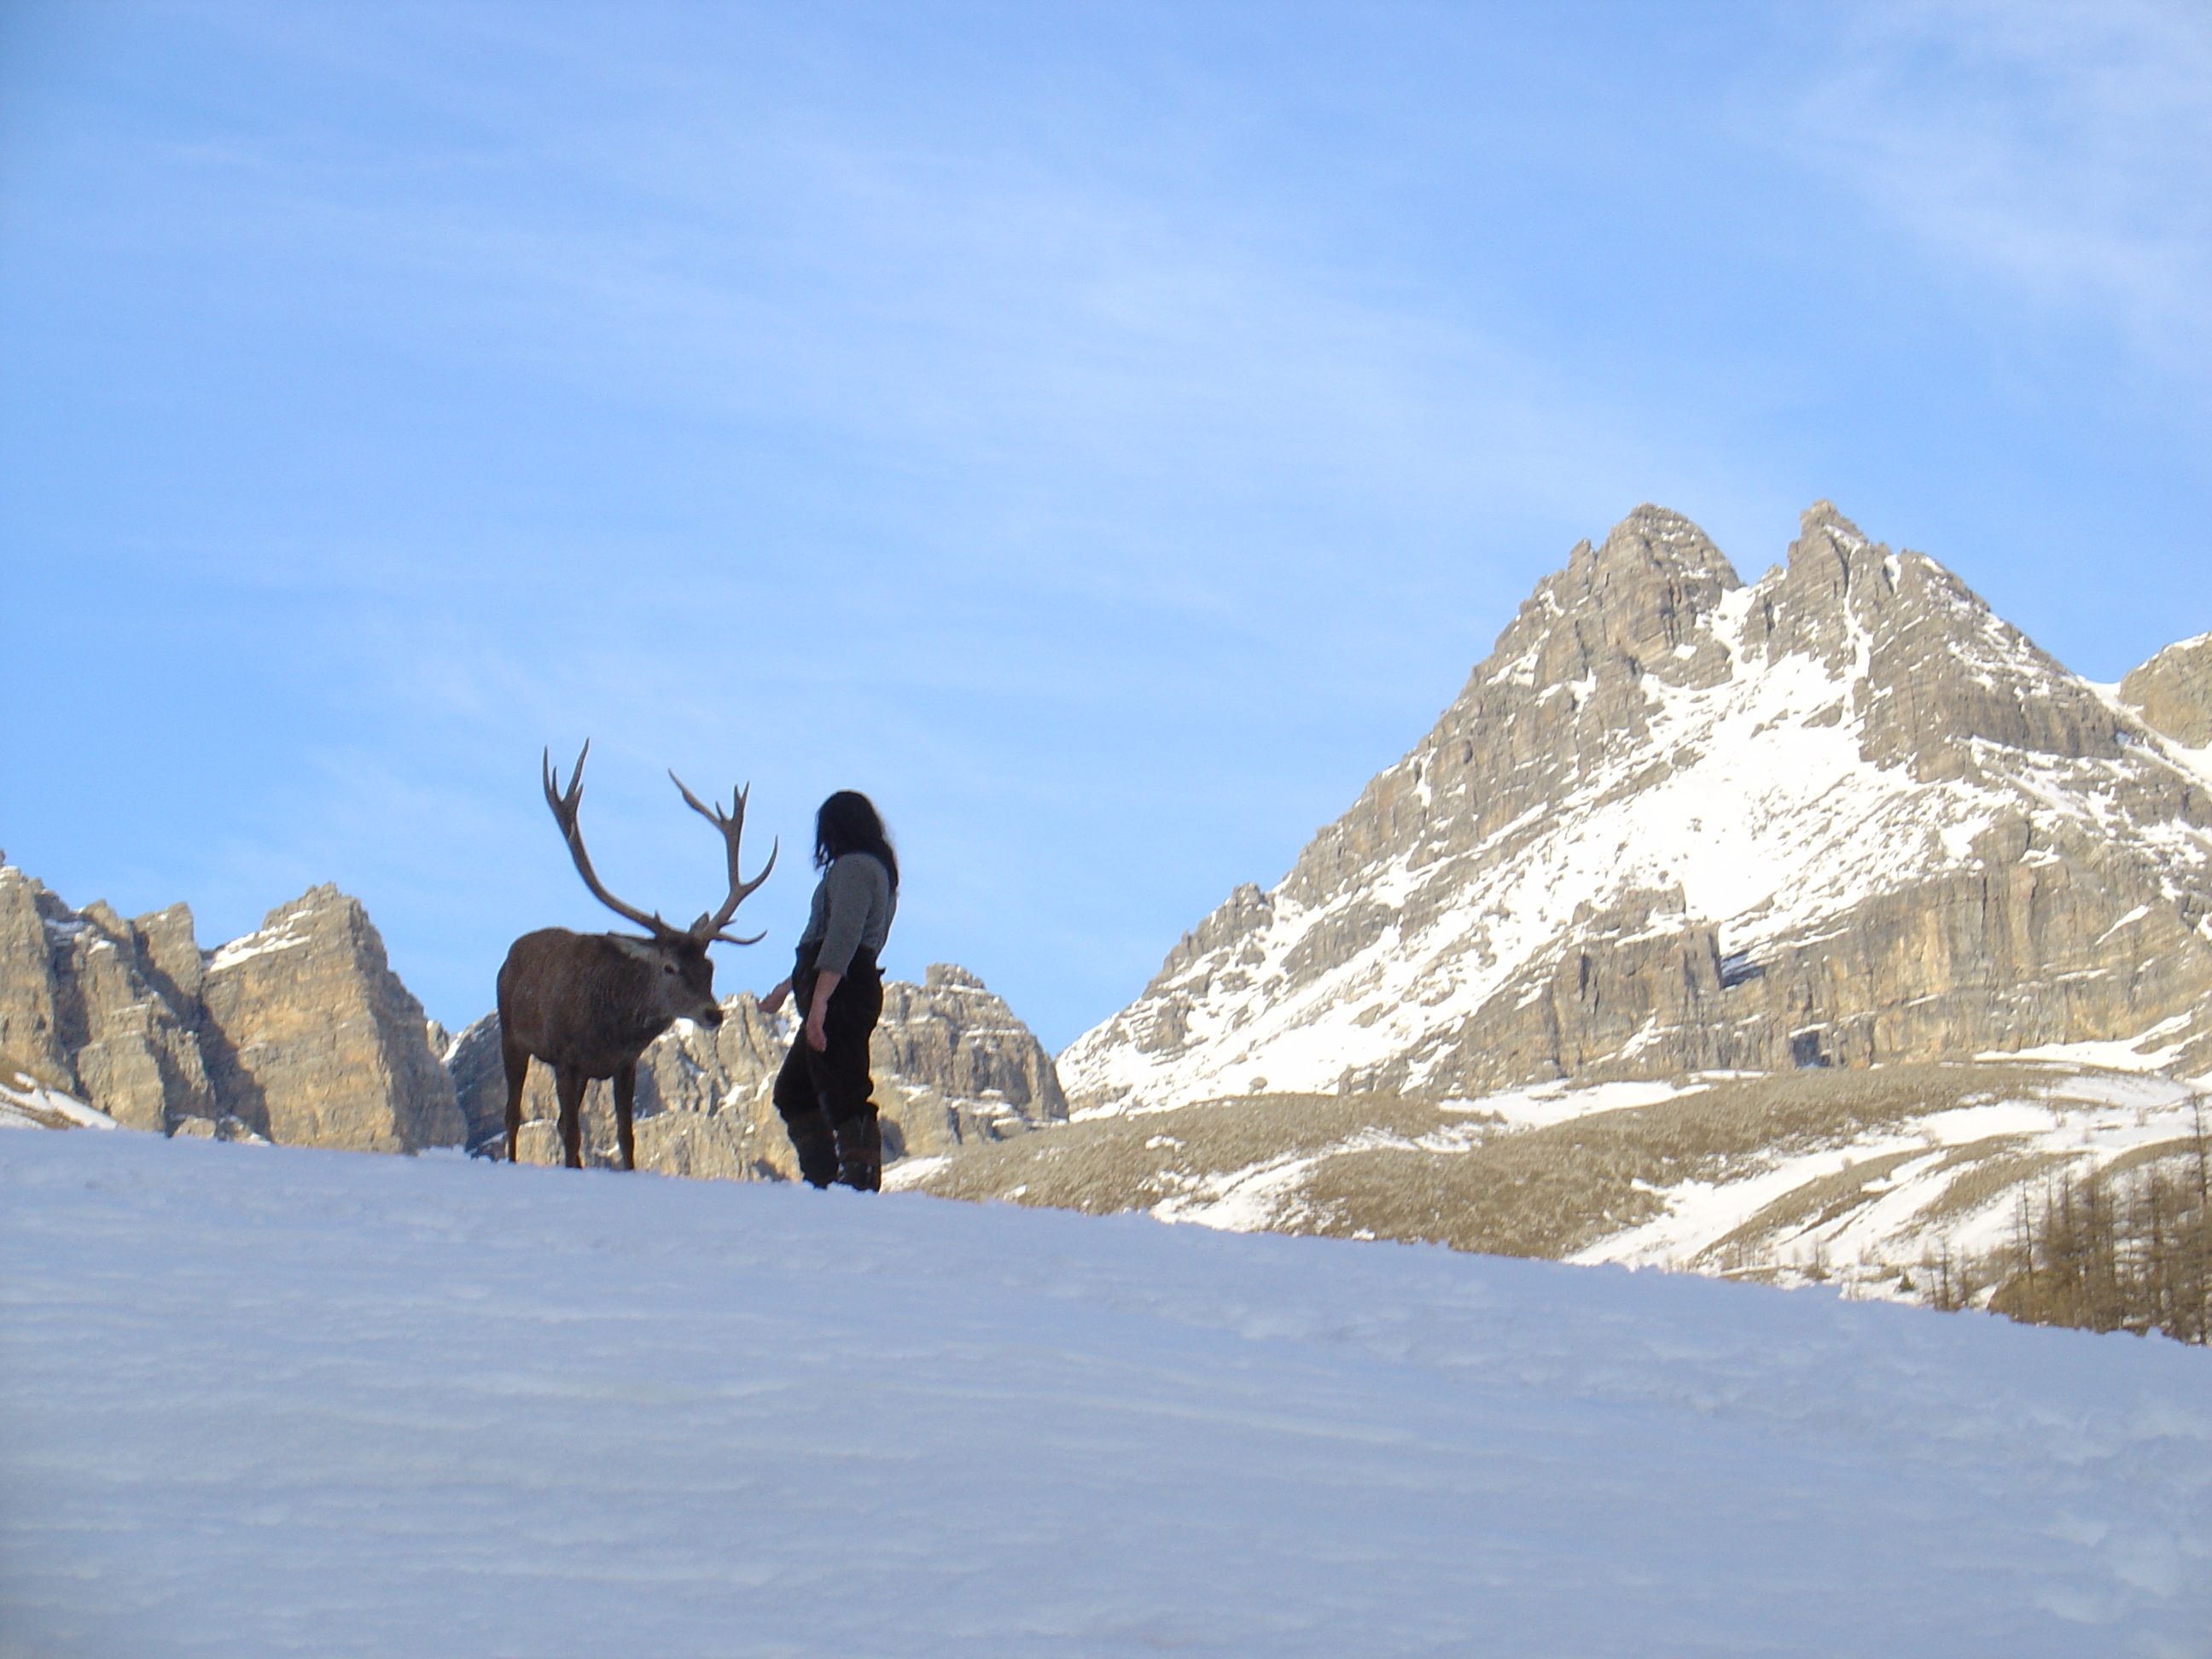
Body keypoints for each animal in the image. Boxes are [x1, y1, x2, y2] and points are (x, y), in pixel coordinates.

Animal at [498, 742, 776, 1170]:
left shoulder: (624, 1064)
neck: (611, 1030)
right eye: (669, 967)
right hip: (512, 1035)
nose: (713, 1014)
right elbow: (573, 1132)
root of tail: (511, 954)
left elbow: (625, 1137)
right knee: (514, 1113)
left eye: (709, 966)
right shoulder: (565, 1057)